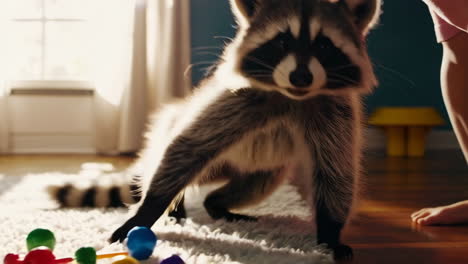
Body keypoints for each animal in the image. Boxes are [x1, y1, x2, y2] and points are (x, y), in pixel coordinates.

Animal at [48, 0, 380, 260]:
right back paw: (177, 203)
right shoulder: (234, 98)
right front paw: (147, 210)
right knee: (172, 162)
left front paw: (330, 233)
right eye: (283, 41)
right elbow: (187, 145)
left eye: (324, 45)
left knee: (258, 182)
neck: (291, 95)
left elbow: (336, 171)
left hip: (257, 169)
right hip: (194, 152)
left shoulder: (334, 111)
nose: (300, 76)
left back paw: (218, 204)